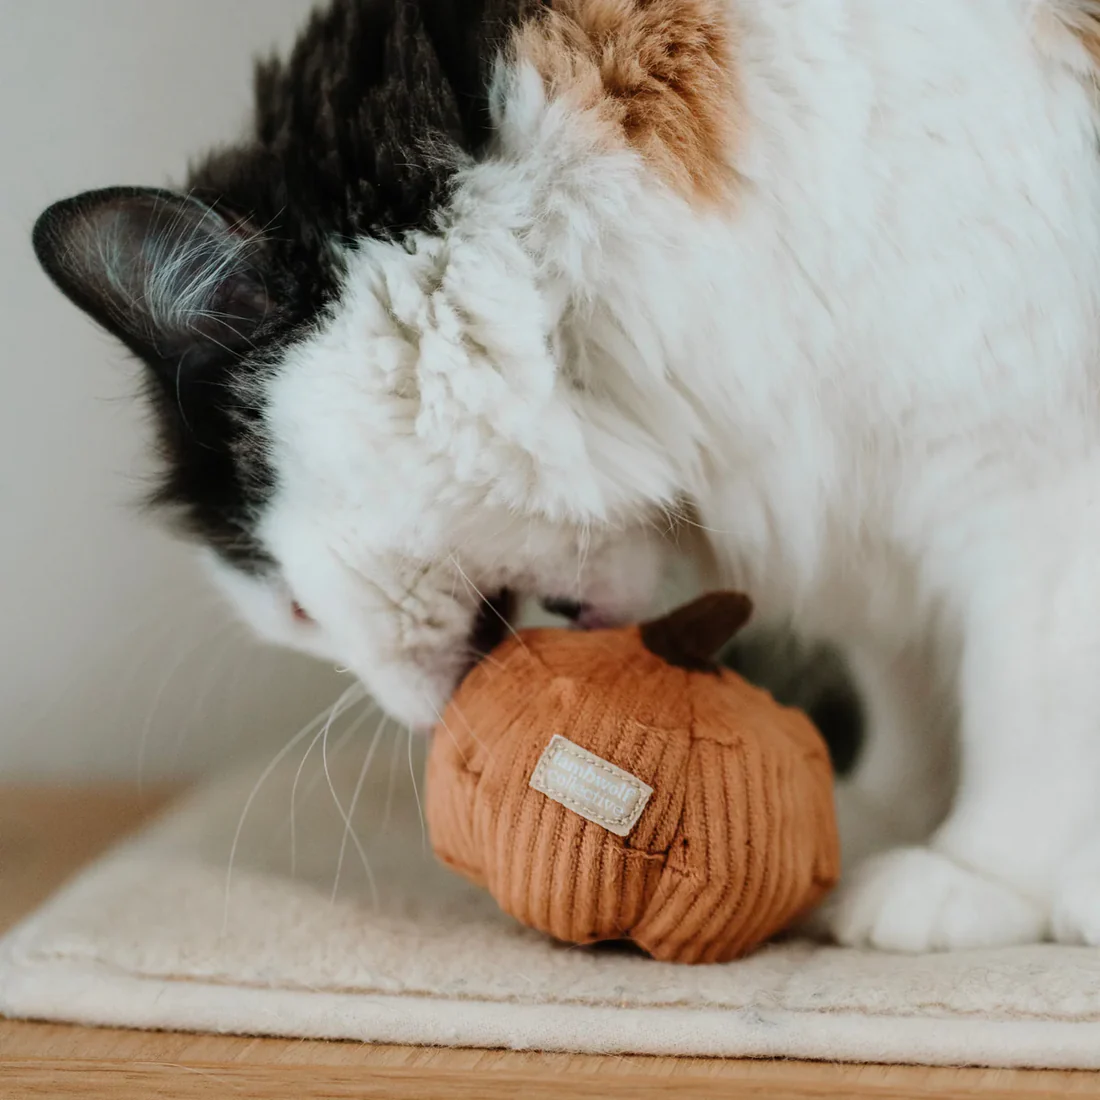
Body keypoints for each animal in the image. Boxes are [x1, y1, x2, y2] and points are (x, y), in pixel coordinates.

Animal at [32, 0, 1100, 950]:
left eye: (292, 606)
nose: (404, 713)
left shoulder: (1024, 476)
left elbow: (1023, 697)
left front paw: (977, 872)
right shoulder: (858, 490)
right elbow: (910, 687)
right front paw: (875, 820)